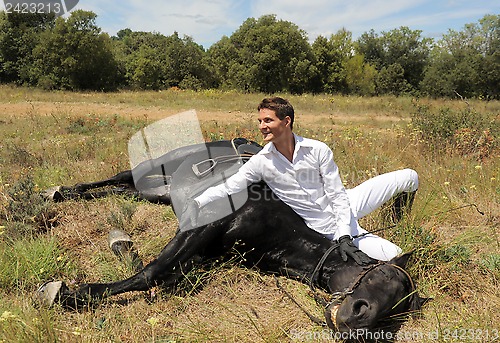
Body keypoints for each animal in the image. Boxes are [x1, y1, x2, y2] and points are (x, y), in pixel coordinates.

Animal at [39, 139, 428, 338]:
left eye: (397, 309)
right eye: (381, 274)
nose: (359, 320)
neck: (280, 224)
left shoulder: (206, 251)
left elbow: (168, 273)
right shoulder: (200, 224)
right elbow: (152, 272)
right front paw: (66, 293)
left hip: (156, 192)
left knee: (121, 190)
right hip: (156, 167)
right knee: (114, 179)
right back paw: (54, 192)